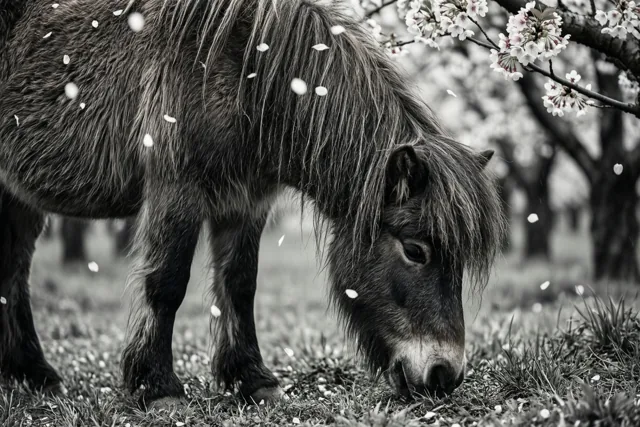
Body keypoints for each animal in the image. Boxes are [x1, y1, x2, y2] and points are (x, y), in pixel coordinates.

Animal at [0, 0, 506, 407]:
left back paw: (32, 375)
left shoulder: (246, 203)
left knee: (15, 272)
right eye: (415, 250)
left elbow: (240, 285)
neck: (245, 69)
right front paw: (157, 388)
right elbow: (167, 284)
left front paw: (251, 379)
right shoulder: (177, 190)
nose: (445, 375)